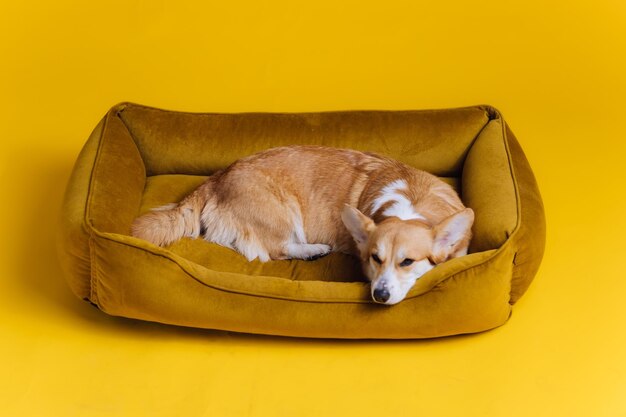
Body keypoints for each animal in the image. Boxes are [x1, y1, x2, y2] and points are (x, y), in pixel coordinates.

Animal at [133, 145, 472, 304]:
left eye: (407, 262)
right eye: (375, 259)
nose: (380, 295)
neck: (411, 202)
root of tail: (216, 178)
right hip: (283, 213)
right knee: (276, 250)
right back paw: (314, 250)